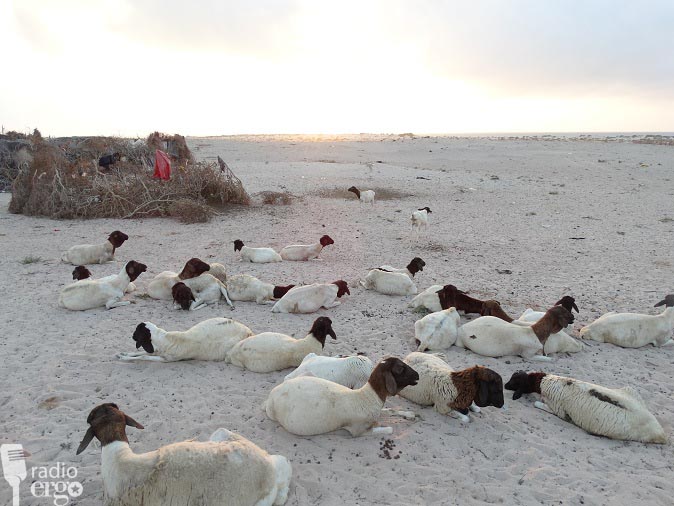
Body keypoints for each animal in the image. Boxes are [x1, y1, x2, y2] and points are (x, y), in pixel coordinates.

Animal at [116, 319, 254, 362]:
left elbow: (144, 356)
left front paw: (124, 358)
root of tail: (249, 331)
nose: (132, 336)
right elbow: (142, 352)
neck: (164, 339)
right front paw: (123, 354)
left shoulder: (166, 359)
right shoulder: (156, 350)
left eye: (136, 331)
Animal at [265, 357, 420, 436]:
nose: (417, 375)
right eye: (400, 368)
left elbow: (391, 410)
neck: (367, 397)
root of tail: (273, 393)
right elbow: (388, 429)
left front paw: (410, 414)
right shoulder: (358, 430)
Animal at [504, 371, 667, 444]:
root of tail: (660, 432)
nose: (505, 386)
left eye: (515, 382)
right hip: (630, 390)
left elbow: (537, 403)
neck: (545, 382)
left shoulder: (558, 410)